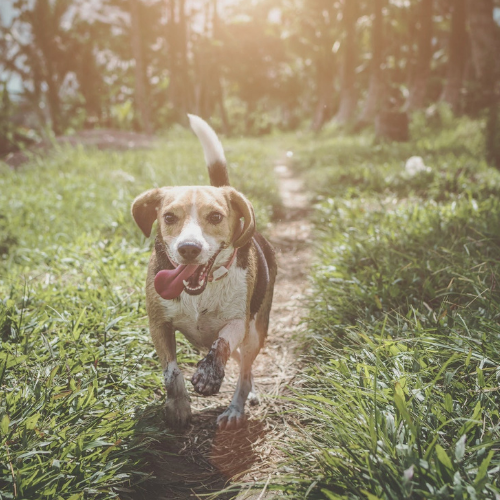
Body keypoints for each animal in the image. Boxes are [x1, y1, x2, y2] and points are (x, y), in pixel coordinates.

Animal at [130, 114, 278, 430]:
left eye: (216, 216)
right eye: (168, 217)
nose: (188, 248)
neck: (202, 290)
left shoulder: (238, 322)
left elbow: (221, 343)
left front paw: (209, 375)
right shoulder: (158, 324)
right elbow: (172, 372)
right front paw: (178, 406)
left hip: (255, 332)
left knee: (244, 371)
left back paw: (236, 408)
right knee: (244, 368)